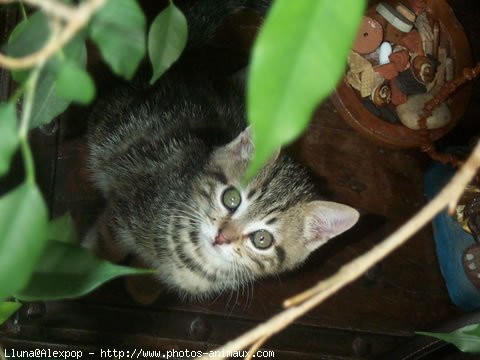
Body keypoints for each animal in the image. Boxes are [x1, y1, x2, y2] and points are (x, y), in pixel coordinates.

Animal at [86, 0, 358, 298]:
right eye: (231, 198)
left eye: (262, 239)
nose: (221, 237)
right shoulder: (126, 208)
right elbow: (107, 246)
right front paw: (85, 271)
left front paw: (143, 285)